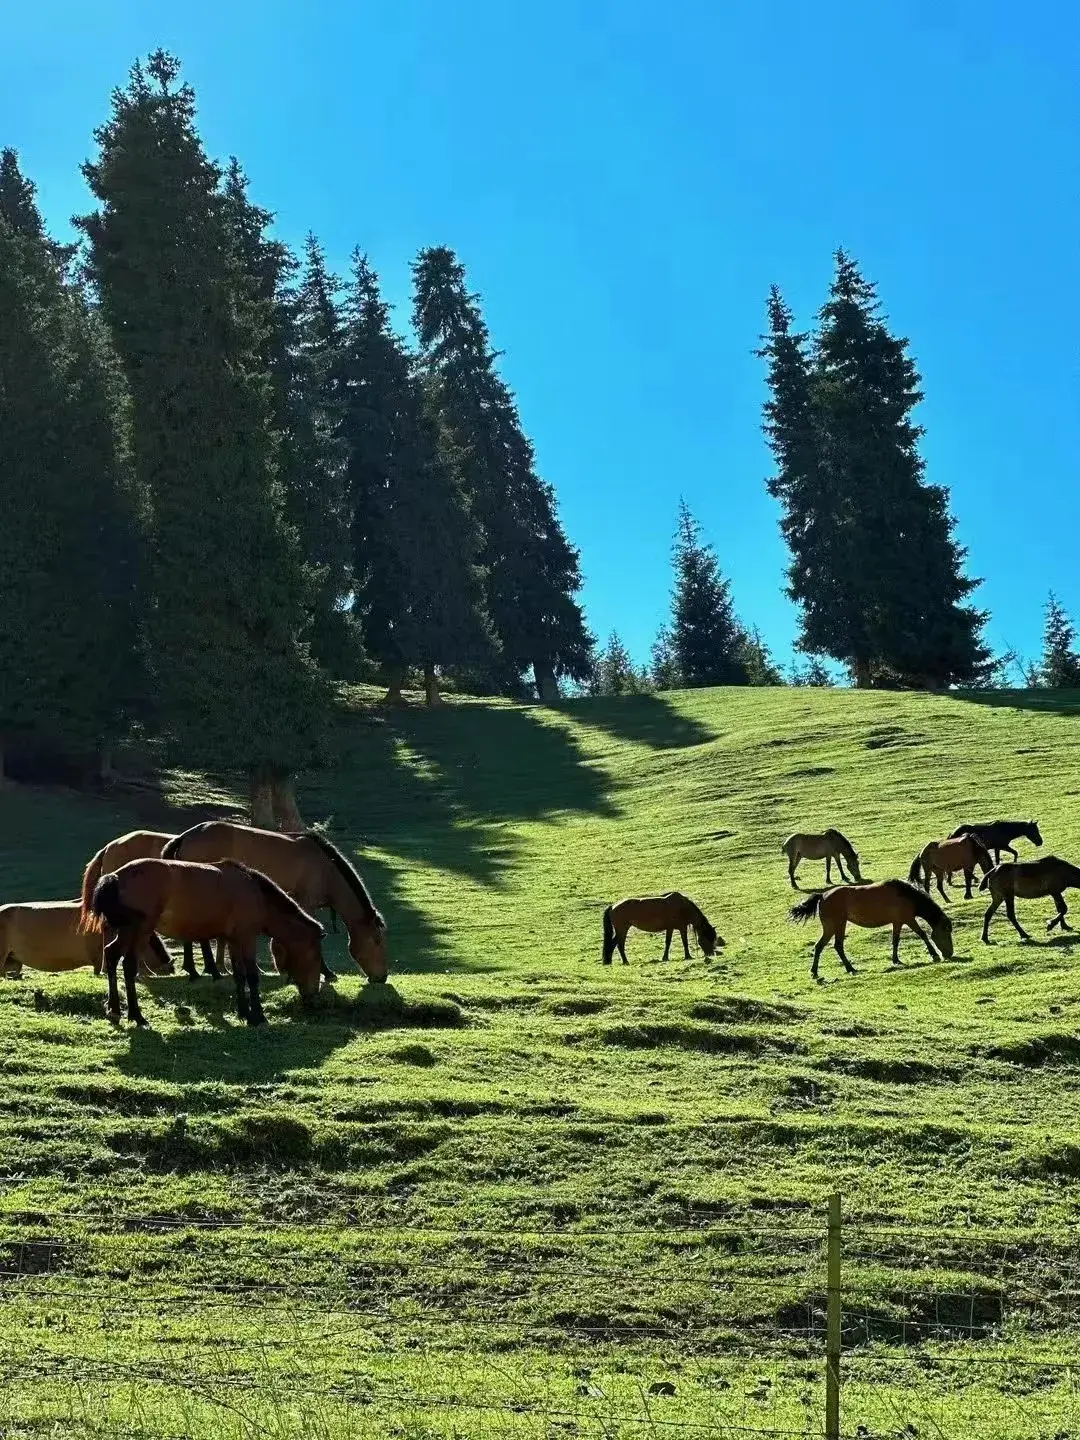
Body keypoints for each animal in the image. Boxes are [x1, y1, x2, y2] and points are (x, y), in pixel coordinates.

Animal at [80, 852, 328, 1025]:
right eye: (315, 957)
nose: (314, 993)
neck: (253, 891)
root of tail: (115, 876)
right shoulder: (246, 938)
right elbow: (252, 975)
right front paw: (258, 1015)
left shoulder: (232, 940)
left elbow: (239, 975)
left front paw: (244, 1012)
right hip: (140, 931)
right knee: (129, 966)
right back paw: (136, 1015)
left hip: (127, 931)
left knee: (112, 956)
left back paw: (114, 1009)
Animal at [164, 817, 388, 984]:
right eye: (377, 940)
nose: (383, 977)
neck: (326, 869)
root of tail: (184, 837)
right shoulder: (306, 904)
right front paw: (326, 972)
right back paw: (206, 970)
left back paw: (200, 970)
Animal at [789, 875, 956, 979]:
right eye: (946, 931)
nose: (949, 954)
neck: (907, 896)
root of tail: (822, 896)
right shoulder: (908, 919)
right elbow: (922, 934)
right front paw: (934, 955)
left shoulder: (898, 922)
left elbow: (895, 940)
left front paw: (896, 960)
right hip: (836, 925)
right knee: (834, 945)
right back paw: (849, 969)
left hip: (834, 926)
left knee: (824, 946)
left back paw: (819, 972)